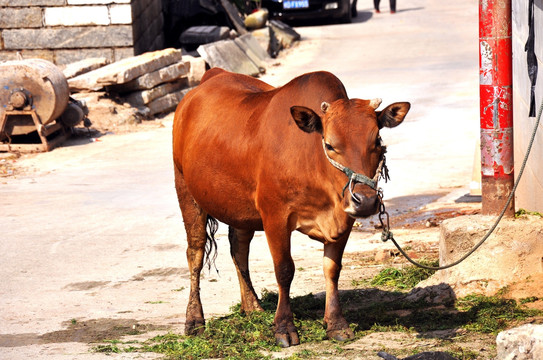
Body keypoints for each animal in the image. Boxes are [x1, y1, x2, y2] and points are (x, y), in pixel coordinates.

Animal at [172, 67, 410, 346]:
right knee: (195, 254)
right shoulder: (275, 217)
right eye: (329, 145)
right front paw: (284, 327)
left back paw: (252, 307)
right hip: (186, 189)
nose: (367, 201)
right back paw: (194, 320)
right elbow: (284, 270)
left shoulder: (345, 219)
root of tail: (213, 75)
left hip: (239, 208)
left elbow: (332, 269)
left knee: (239, 249)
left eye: (378, 141)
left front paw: (336, 324)